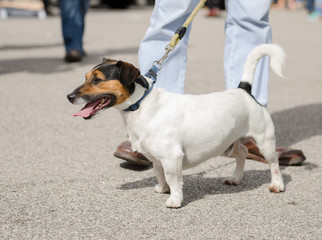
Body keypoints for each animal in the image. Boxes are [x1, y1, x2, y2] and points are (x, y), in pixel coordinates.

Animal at [67, 43, 284, 208]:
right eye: (85, 77)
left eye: (97, 79)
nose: (69, 97)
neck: (143, 106)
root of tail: (244, 89)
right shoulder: (155, 158)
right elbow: (159, 174)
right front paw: (163, 189)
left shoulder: (171, 157)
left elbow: (173, 178)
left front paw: (175, 199)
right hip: (230, 144)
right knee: (242, 153)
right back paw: (236, 178)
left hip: (264, 140)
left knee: (273, 162)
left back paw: (277, 185)